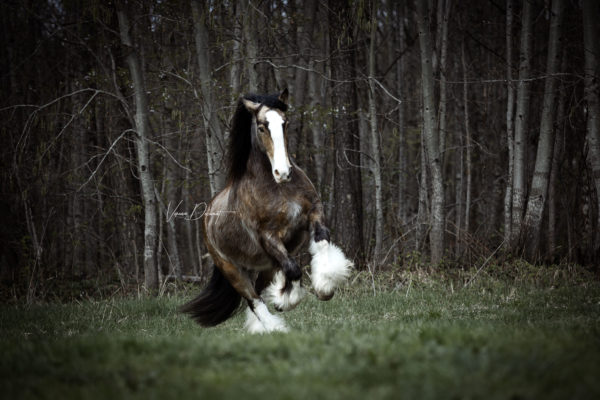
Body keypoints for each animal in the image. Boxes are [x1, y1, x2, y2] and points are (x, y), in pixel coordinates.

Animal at [180, 90, 354, 334]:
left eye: (285, 122)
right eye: (262, 126)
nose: (283, 172)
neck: (278, 188)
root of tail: (207, 217)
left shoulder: (313, 213)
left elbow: (321, 241)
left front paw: (325, 286)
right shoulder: (268, 237)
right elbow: (293, 269)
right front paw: (286, 301)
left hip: (266, 265)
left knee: (259, 288)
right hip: (232, 269)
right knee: (254, 299)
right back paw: (273, 328)